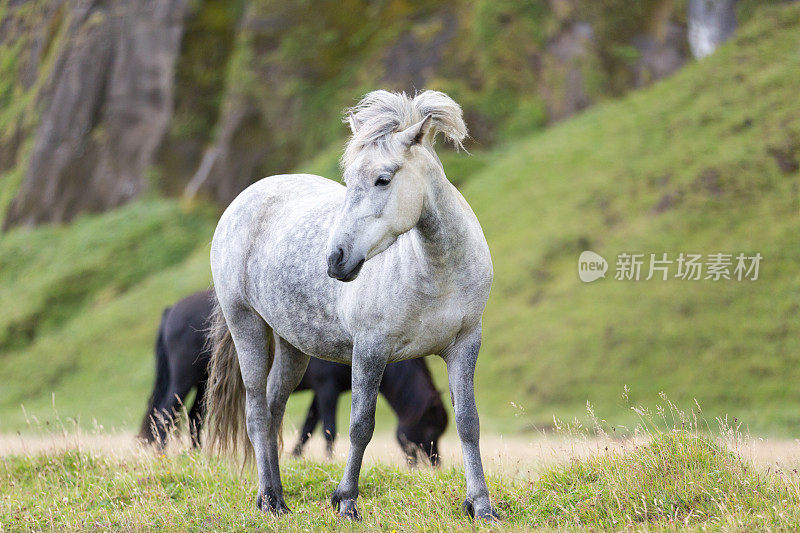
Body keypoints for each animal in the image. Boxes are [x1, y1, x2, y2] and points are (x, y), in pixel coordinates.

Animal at [140, 288, 446, 464]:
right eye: (431, 430)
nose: (435, 464)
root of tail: (171, 310)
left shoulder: (324, 392)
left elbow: (308, 428)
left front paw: (294, 457)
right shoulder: (326, 389)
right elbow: (328, 429)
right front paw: (329, 460)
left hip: (205, 381)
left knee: (194, 416)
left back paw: (198, 454)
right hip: (183, 380)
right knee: (166, 413)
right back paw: (161, 454)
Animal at [203, 90, 496, 520]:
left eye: (383, 179)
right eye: (348, 181)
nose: (335, 259)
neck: (435, 272)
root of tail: (244, 199)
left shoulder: (465, 345)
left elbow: (468, 422)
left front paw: (482, 505)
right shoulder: (370, 350)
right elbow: (361, 426)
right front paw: (346, 501)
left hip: (292, 346)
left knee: (274, 409)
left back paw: (276, 497)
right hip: (246, 326)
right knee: (256, 412)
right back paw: (269, 500)